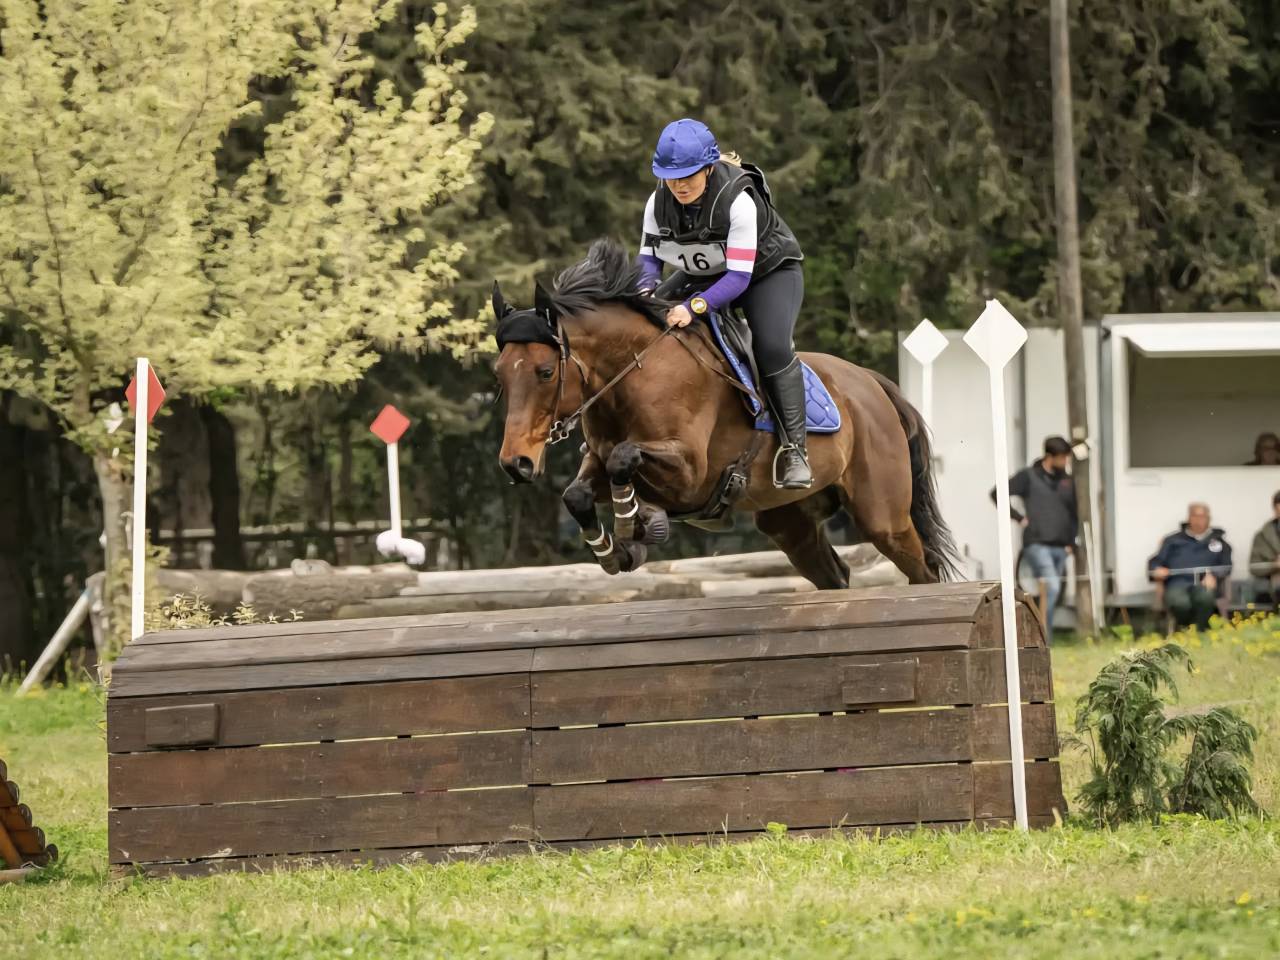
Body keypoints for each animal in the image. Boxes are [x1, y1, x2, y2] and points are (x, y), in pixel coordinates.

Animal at [493, 239, 958, 589]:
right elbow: (578, 492)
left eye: (545, 371)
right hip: (790, 523)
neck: (630, 374)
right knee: (835, 574)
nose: (516, 464)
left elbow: (625, 458)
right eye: (498, 372)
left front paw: (637, 527)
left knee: (923, 570)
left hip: (883, 516)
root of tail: (872, 384)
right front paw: (616, 548)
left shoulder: (690, 472)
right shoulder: (598, 458)